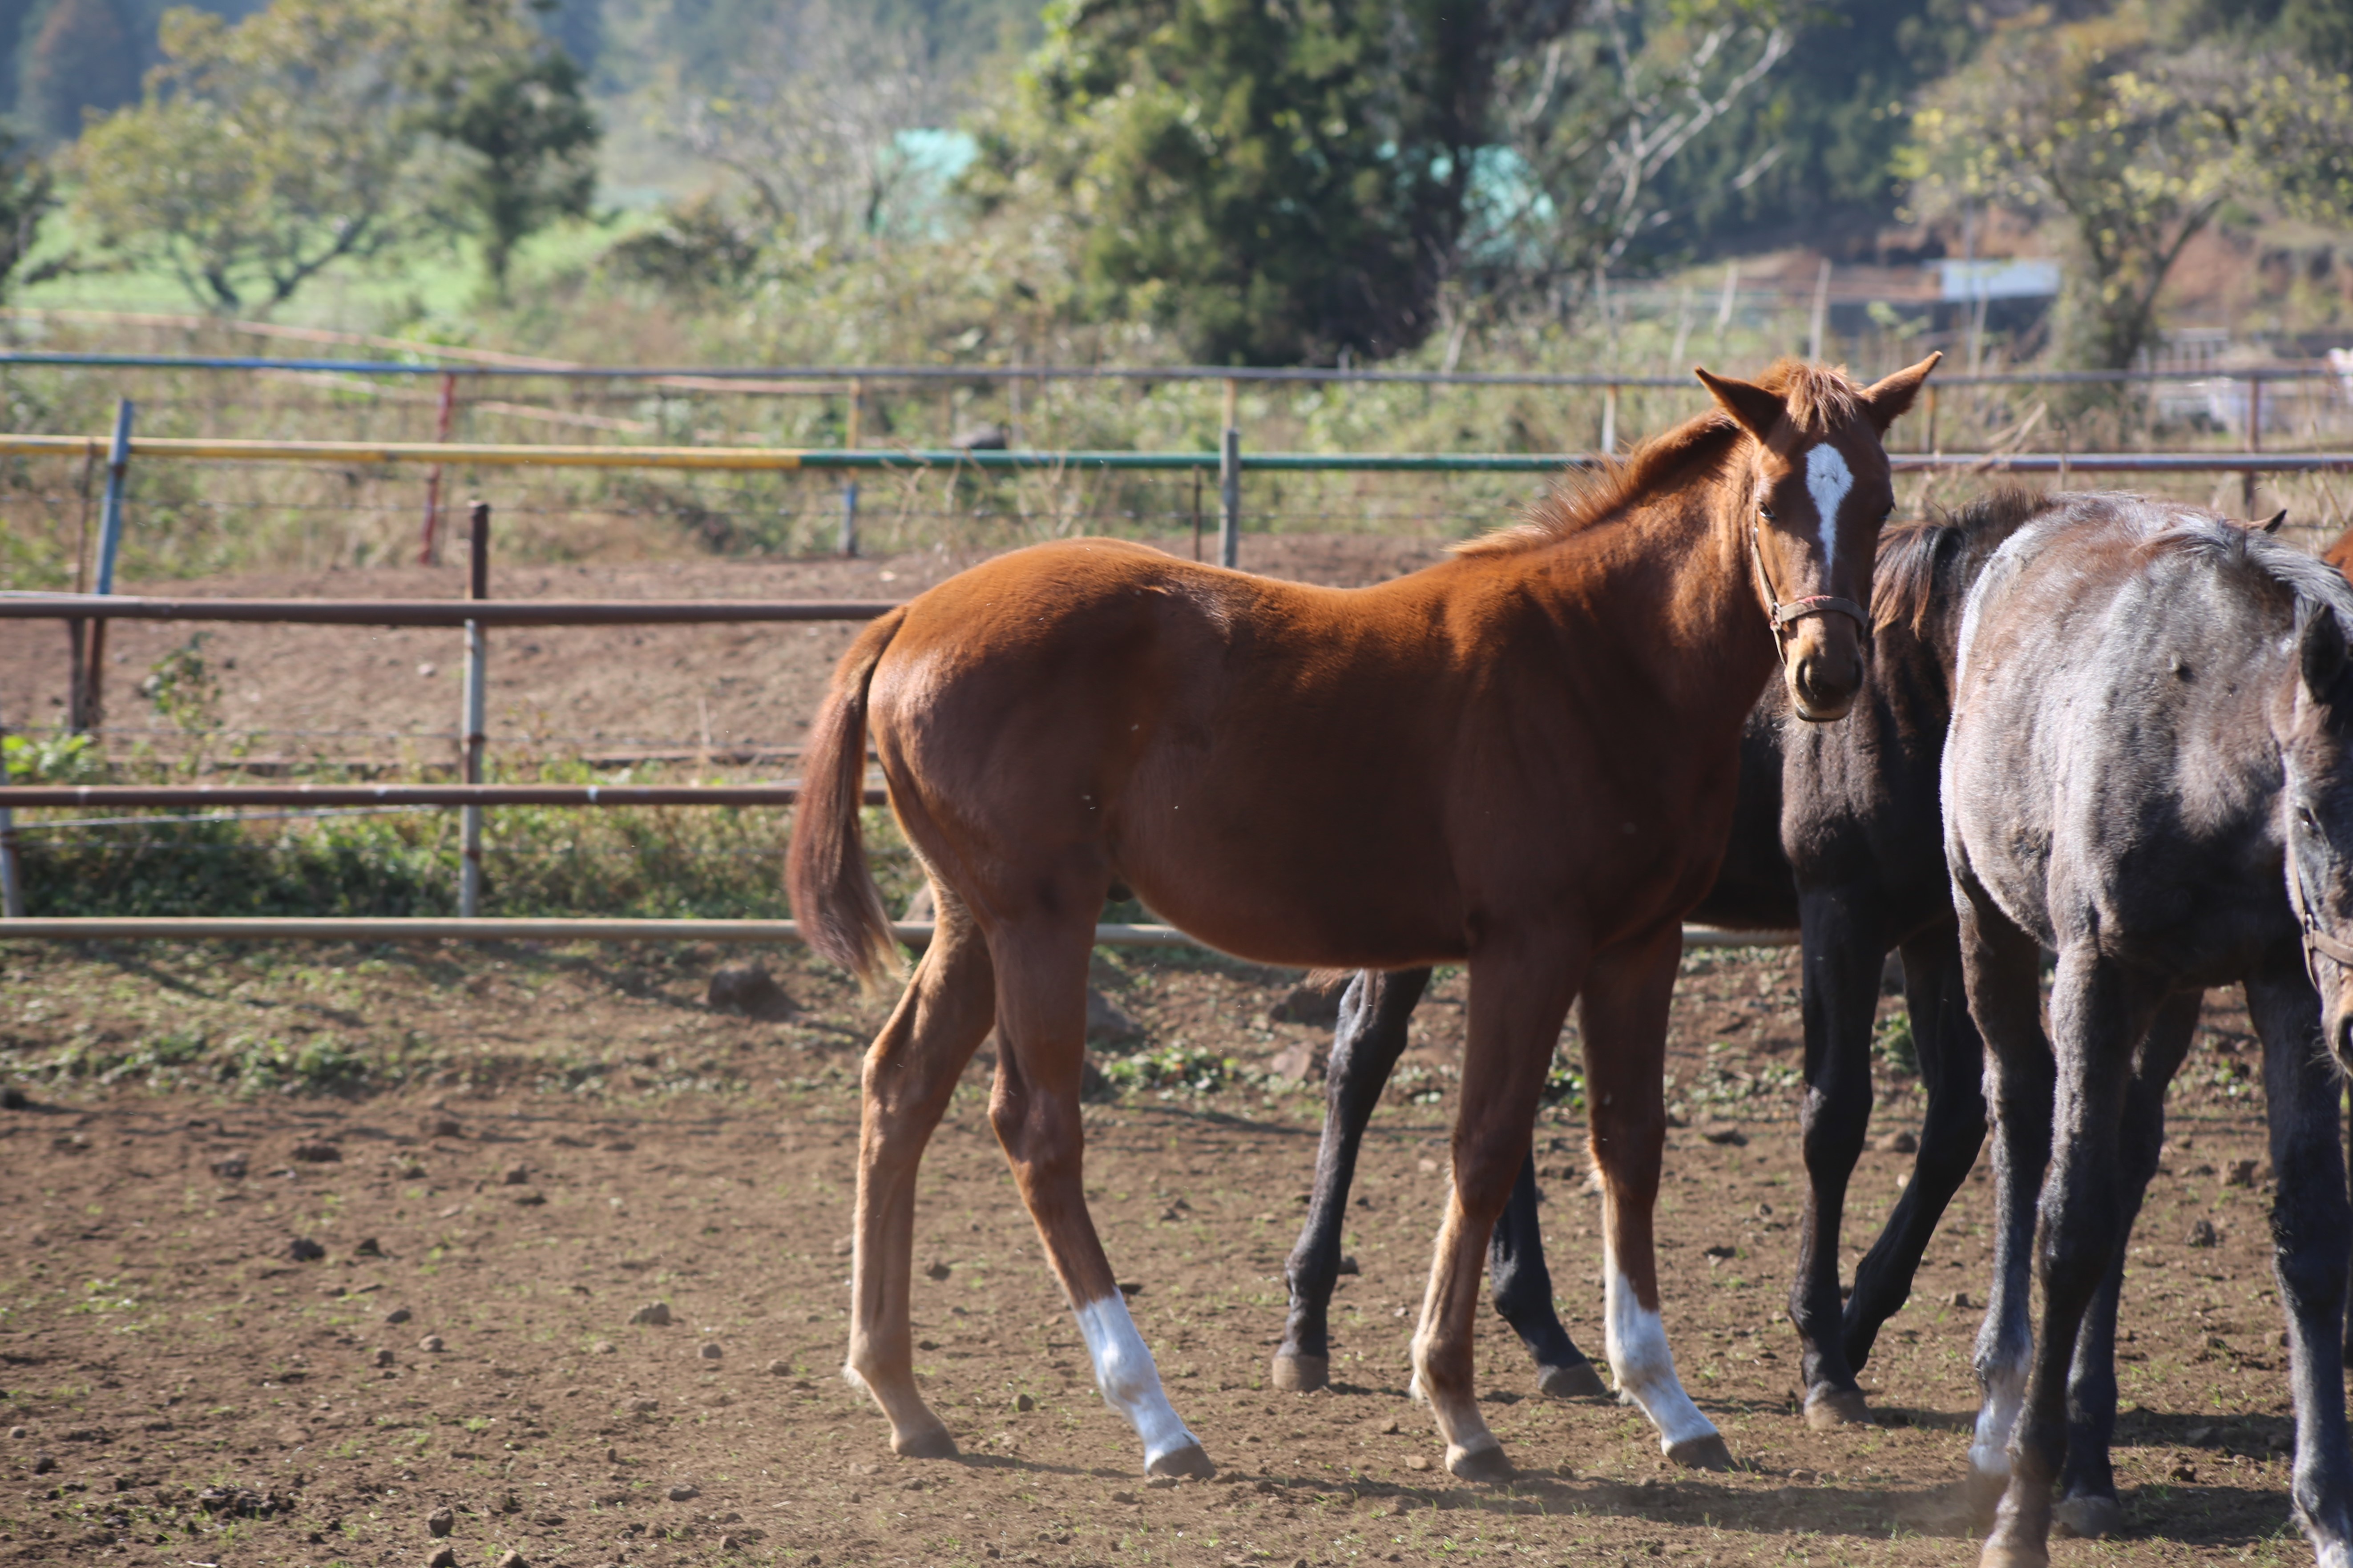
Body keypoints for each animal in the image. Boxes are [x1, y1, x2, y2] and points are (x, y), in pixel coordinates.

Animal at [786, 353, 1929, 1478]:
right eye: (1771, 500)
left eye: (1878, 500)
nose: (1827, 672)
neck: (1598, 657)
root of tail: (907, 618)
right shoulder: (1528, 942)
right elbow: (1485, 1143)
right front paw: (1457, 1405)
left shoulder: (1636, 947)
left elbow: (1628, 1142)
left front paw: (1666, 1399)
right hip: (1041, 920)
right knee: (1036, 1127)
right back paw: (1154, 1416)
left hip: (973, 923)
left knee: (899, 1087)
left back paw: (901, 1393)